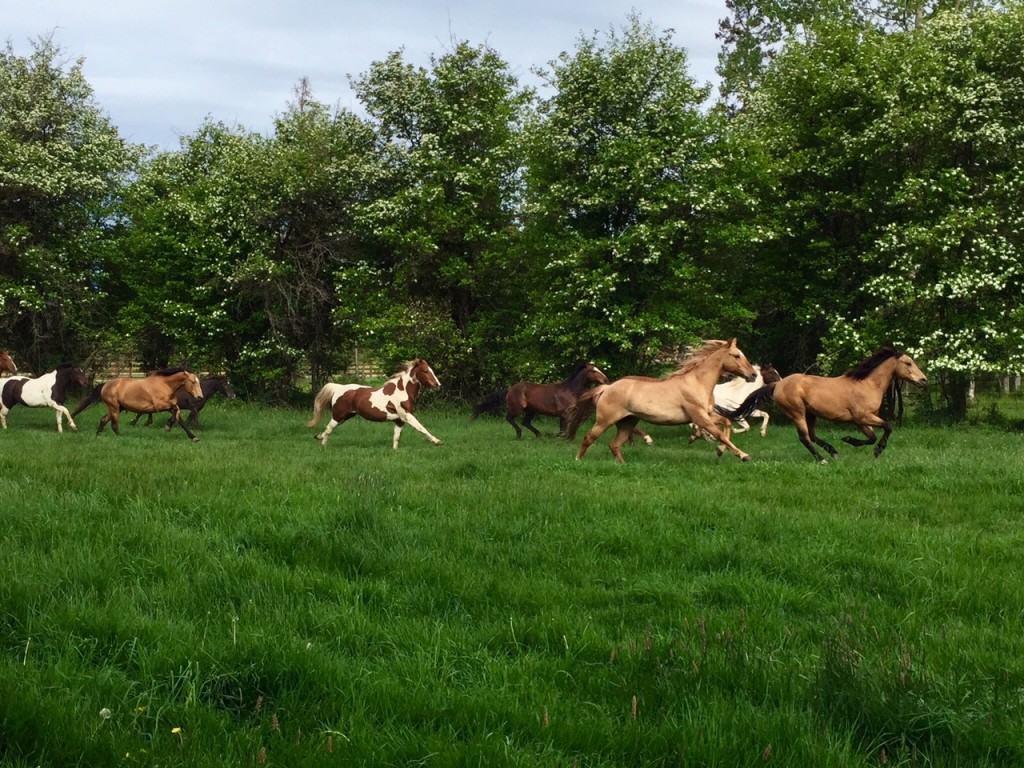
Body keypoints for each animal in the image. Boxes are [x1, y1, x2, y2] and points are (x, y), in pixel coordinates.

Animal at [70, 368, 205, 442]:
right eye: (193, 382)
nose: (200, 397)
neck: (165, 385)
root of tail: (105, 385)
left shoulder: (169, 406)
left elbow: (180, 419)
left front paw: (194, 437)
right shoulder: (159, 406)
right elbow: (175, 411)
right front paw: (167, 426)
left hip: (117, 408)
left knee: (104, 420)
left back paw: (98, 435)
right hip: (114, 408)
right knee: (113, 424)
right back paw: (120, 437)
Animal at [471, 360, 606, 438]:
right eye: (593, 371)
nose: (606, 379)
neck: (570, 390)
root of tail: (509, 389)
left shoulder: (564, 414)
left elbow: (563, 427)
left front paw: (560, 437)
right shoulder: (566, 413)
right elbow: (566, 426)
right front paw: (564, 438)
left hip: (531, 411)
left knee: (525, 422)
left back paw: (539, 434)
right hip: (517, 409)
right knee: (510, 418)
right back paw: (519, 434)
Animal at [565, 337, 757, 462]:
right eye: (736, 355)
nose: (753, 375)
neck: (698, 382)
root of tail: (607, 387)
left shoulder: (706, 415)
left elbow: (726, 423)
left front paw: (719, 450)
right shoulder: (699, 416)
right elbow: (719, 434)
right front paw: (743, 455)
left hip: (627, 422)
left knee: (615, 445)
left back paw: (623, 464)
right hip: (604, 421)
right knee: (588, 438)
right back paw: (577, 460)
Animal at [720, 348, 929, 462]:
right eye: (908, 363)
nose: (924, 380)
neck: (867, 384)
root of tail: (778, 384)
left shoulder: (861, 421)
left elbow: (871, 437)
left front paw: (849, 440)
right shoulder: (862, 417)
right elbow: (888, 426)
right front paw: (876, 450)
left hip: (811, 414)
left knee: (812, 436)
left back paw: (833, 452)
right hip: (797, 413)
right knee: (805, 438)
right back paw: (822, 460)